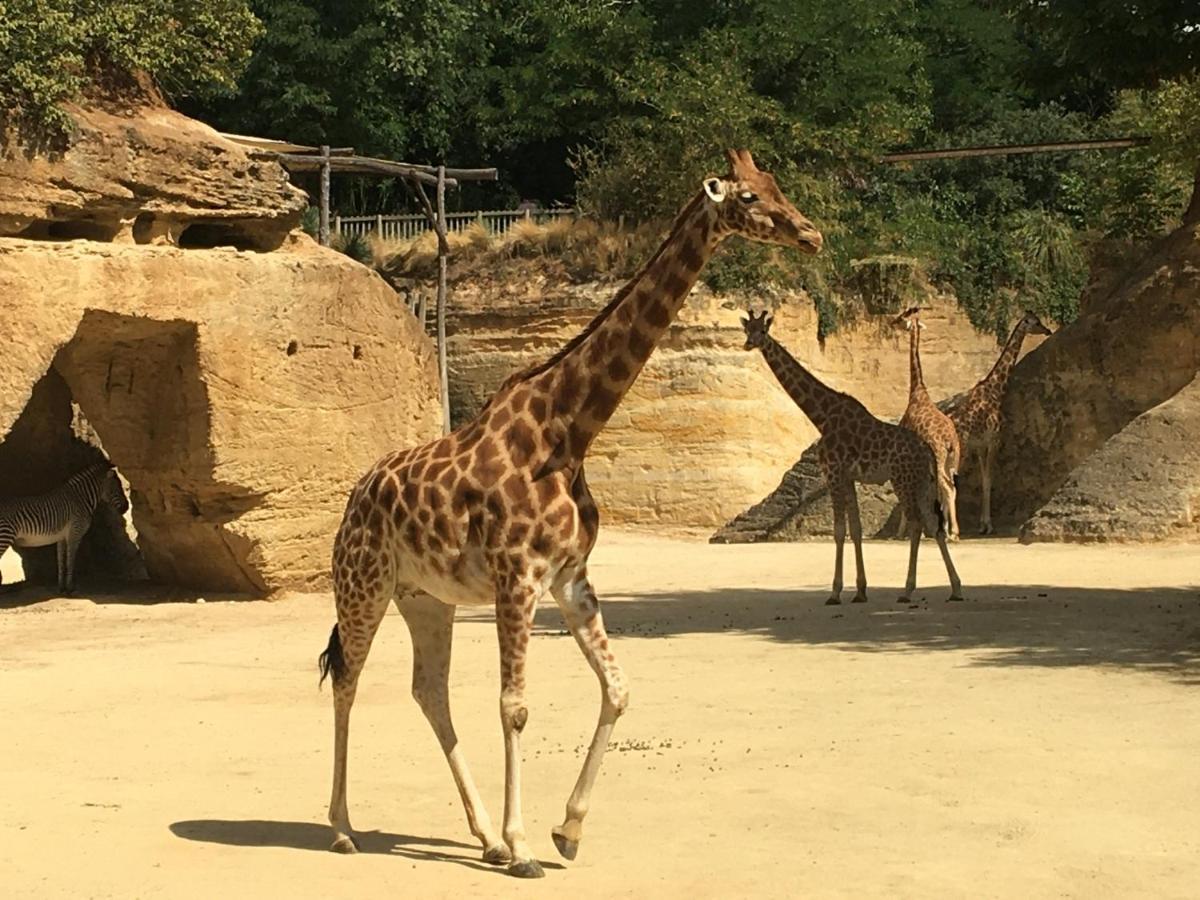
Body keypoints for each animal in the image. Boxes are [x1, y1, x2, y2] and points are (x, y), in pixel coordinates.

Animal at [0, 465, 129, 600]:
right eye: (116, 489)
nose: (126, 508)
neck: (81, 500)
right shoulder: (75, 533)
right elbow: (70, 561)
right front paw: (70, 588)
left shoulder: (61, 537)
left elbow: (61, 562)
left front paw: (61, 588)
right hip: (5, 536)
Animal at [316, 150, 825, 883]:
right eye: (752, 198)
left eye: (779, 185)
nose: (812, 234)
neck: (568, 430)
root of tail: (355, 497)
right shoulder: (517, 578)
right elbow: (516, 707)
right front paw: (527, 845)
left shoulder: (570, 577)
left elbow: (618, 689)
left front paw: (566, 830)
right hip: (363, 585)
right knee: (348, 681)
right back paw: (343, 828)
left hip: (425, 597)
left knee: (428, 691)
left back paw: (482, 838)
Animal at [897, 307, 960, 540]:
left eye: (901, 317)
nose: (891, 322)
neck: (917, 391)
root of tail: (950, 440)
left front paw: (903, 532)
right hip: (952, 460)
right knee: (952, 488)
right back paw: (948, 530)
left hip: (940, 458)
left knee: (947, 488)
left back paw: (953, 533)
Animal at [945, 312, 1051, 532]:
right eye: (1036, 322)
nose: (1048, 330)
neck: (996, 390)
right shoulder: (994, 439)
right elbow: (988, 480)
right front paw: (987, 525)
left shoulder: (980, 445)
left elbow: (984, 478)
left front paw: (982, 524)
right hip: (959, 450)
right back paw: (949, 529)